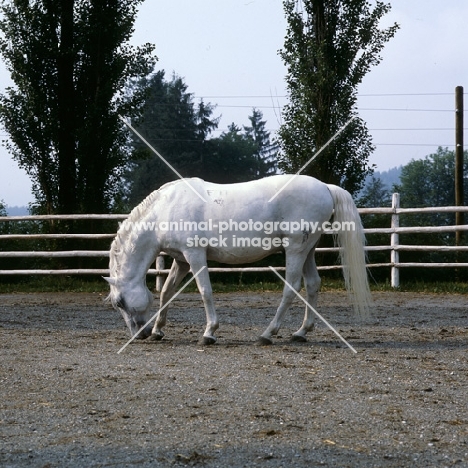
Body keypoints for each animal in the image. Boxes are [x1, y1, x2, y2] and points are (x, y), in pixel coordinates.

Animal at [106, 174, 372, 346]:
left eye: (119, 302)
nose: (139, 334)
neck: (164, 210)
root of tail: (325, 187)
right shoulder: (181, 260)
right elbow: (166, 292)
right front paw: (158, 331)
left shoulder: (195, 254)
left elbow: (205, 291)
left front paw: (209, 333)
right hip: (308, 249)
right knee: (313, 285)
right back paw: (300, 332)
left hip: (296, 248)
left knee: (292, 288)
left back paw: (267, 334)